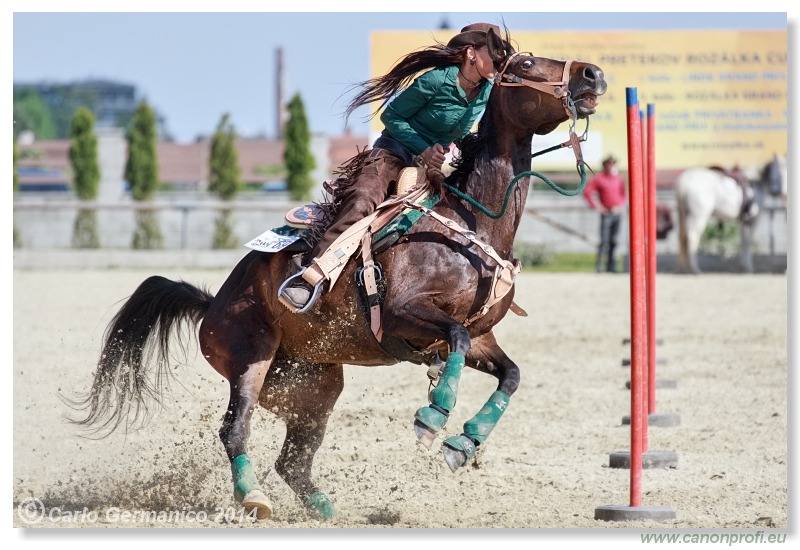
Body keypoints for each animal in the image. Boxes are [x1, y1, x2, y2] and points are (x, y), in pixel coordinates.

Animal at [73, 48, 608, 520]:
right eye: (526, 63)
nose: (593, 74)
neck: (470, 222)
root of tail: (211, 305)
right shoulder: (403, 315)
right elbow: (453, 340)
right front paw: (434, 416)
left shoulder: (482, 336)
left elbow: (510, 374)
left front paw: (464, 441)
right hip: (250, 359)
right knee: (234, 430)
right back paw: (254, 498)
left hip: (312, 386)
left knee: (291, 459)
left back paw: (324, 508)